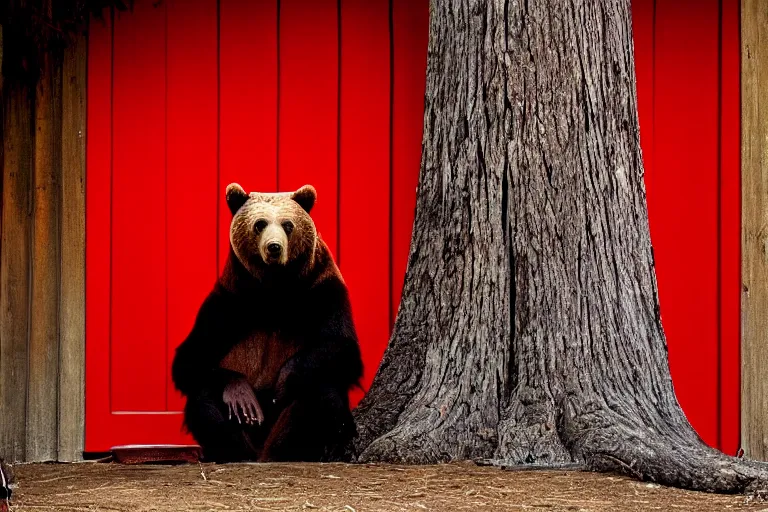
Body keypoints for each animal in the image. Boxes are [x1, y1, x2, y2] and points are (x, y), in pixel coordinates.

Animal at [172, 182, 364, 462]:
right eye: (260, 223)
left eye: (288, 224)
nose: (274, 247)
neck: (274, 289)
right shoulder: (229, 302)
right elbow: (190, 358)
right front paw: (241, 393)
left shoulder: (323, 291)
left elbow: (341, 348)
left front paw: (284, 381)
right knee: (203, 399)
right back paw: (235, 450)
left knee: (322, 392)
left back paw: (293, 449)